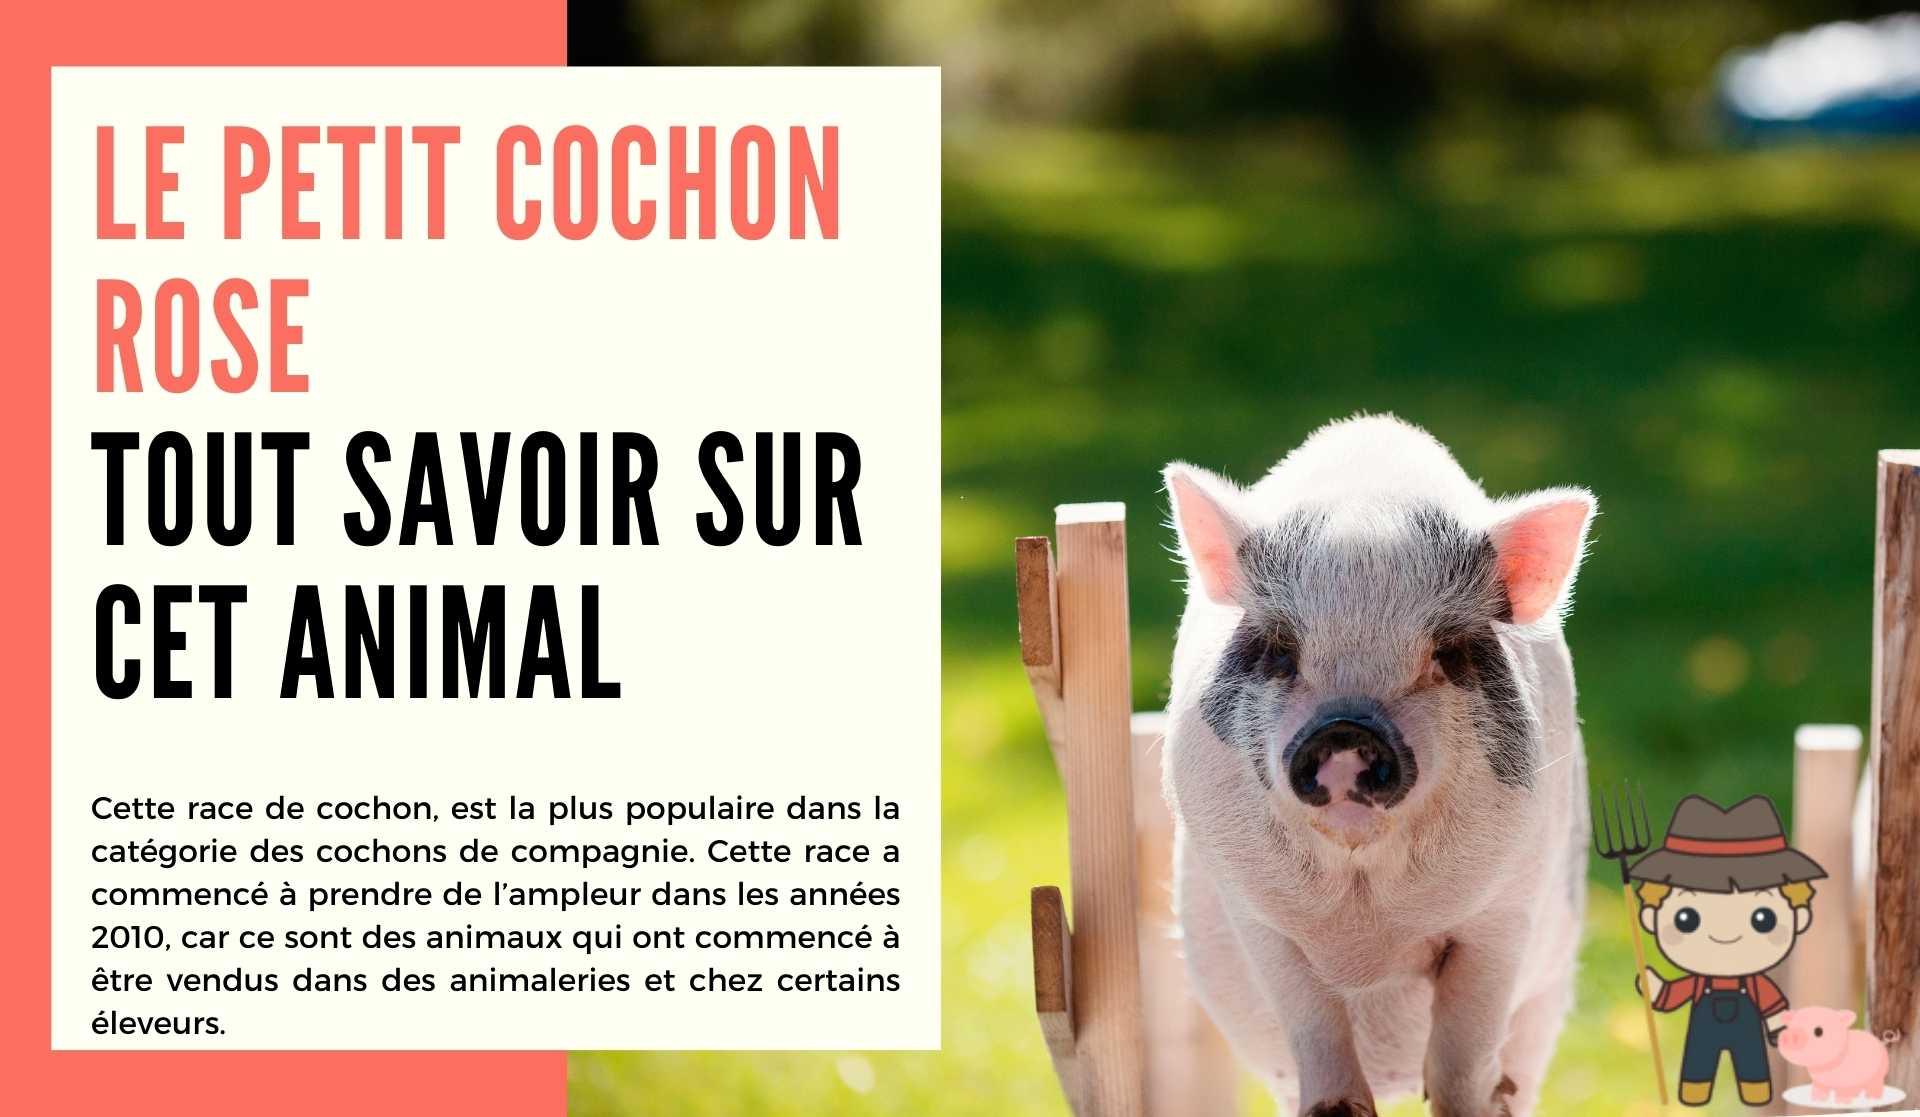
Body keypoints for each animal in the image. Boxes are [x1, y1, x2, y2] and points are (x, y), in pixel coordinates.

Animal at [1162, 415, 1594, 1117]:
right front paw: (1336, 1108)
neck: (1366, 935)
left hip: (1547, 997)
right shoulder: (1258, 917)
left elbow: (1463, 1052)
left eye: (1447, 653)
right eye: (1280, 651)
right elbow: (1312, 1025)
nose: (1344, 732)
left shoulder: (1504, 912)